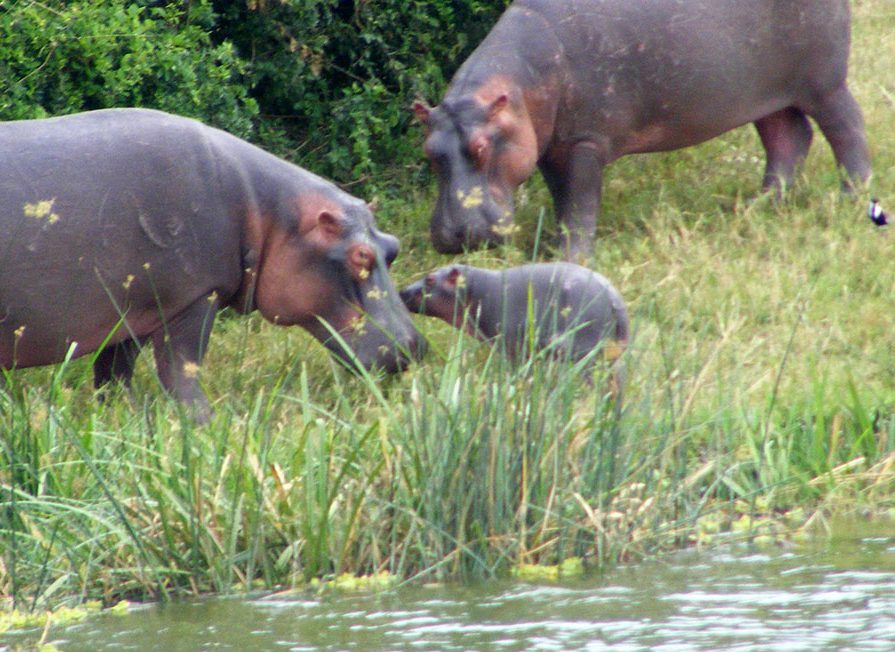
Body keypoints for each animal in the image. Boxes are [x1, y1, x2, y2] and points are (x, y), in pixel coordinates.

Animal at [0, 109, 428, 420]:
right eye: (361, 256)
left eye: (392, 246)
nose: (416, 345)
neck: (269, 214)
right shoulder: (194, 297)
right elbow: (181, 371)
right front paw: (208, 422)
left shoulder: (130, 308)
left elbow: (113, 378)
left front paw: (125, 420)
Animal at [400, 260, 632, 372]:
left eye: (430, 279)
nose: (402, 290)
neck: (474, 290)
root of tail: (613, 297)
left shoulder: (511, 347)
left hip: (583, 353)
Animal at [416, 0, 872, 260]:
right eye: (429, 152)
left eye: (481, 147)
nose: (456, 237)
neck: (519, 87)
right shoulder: (549, 145)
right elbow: (562, 199)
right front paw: (550, 249)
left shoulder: (584, 141)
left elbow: (581, 202)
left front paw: (572, 258)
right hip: (767, 93)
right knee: (788, 137)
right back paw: (757, 206)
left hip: (824, 83)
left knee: (847, 126)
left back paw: (853, 197)